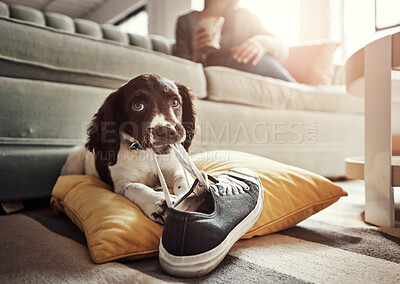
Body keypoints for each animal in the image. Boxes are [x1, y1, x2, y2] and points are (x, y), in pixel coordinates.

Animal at [60, 74, 195, 224]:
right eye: (137, 106)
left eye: (175, 102)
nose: (166, 131)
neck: (147, 153)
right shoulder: (121, 183)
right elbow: (135, 187)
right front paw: (160, 203)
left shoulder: (173, 167)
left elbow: (182, 178)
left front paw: (190, 195)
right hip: (74, 158)